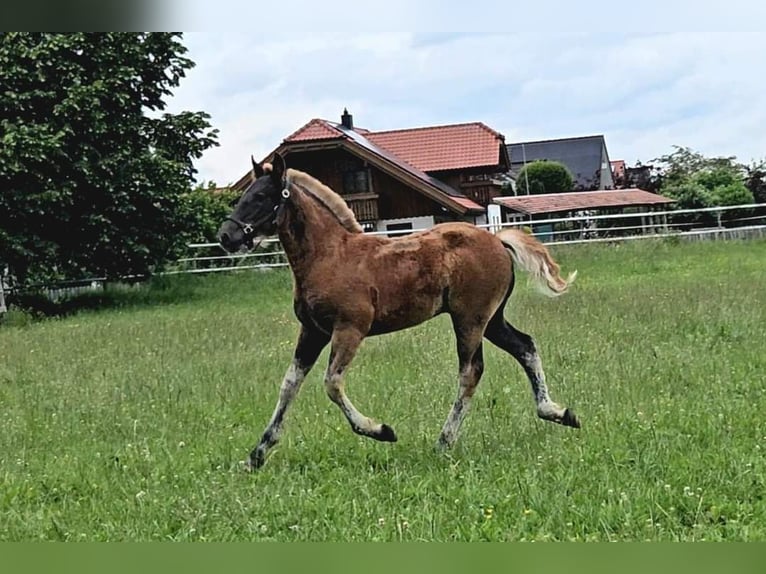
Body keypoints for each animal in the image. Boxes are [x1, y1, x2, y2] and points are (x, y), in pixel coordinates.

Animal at [218, 155, 584, 470]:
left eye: (261, 196)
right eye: (244, 195)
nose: (226, 236)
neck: (330, 255)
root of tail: (497, 241)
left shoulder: (350, 328)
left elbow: (332, 384)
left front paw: (380, 430)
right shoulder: (312, 332)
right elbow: (289, 385)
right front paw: (256, 455)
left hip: (470, 319)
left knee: (471, 371)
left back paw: (444, 441)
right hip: (492, 320)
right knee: (525, 347)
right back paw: (557, 412)